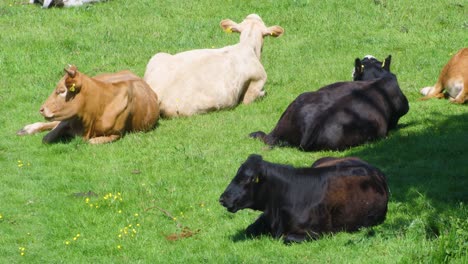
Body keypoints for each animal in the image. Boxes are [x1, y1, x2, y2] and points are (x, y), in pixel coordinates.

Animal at [17, 65, 160, 144]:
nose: (42, 109)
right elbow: (47, 137)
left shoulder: (116, 134)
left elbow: (92, 142)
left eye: (61, 91)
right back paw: (27, 129)